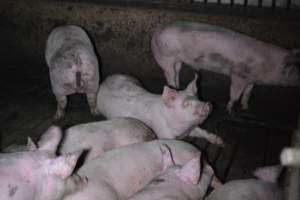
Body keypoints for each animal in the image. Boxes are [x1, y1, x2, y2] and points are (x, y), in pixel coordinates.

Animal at [152, 21, 300, 114]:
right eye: (296, 69)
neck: (268, 65)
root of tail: (156, 33)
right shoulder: (239, 75)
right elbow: (235, 94)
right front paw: (230, 110)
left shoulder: (251, 79)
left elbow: (248, 93)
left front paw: (246, 108)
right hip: (165, 57)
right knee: (170, 75)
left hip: (177, 60)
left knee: (176, 72)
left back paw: (178, 87)